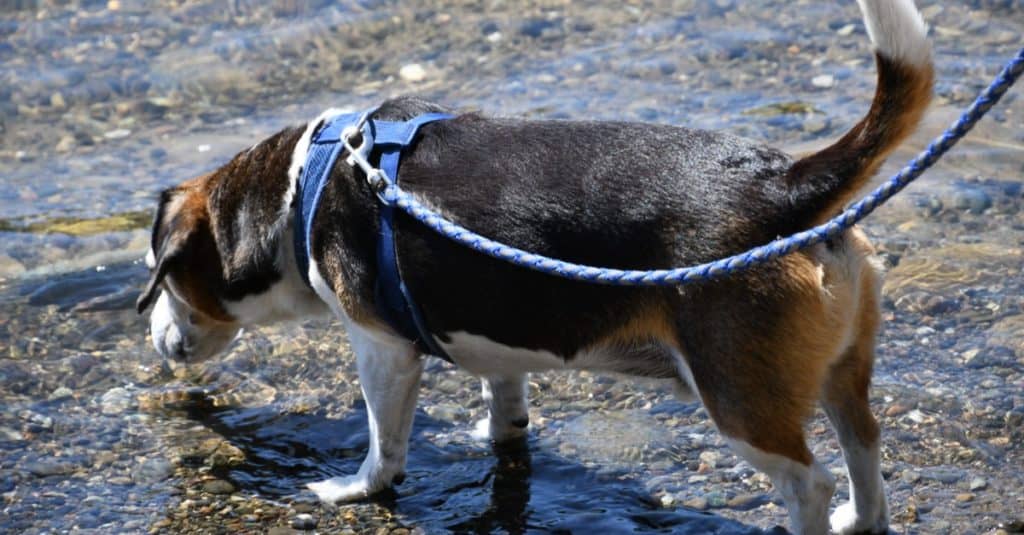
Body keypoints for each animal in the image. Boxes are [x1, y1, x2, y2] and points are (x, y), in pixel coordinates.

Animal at [136, 2, 937, 528]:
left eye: (164, 275)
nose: (156, 340)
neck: (307, 181)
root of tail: (783, 184)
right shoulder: (498, 340)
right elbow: (506, 402)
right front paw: (494, 435)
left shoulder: (381, 348)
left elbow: (384, 442)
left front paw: (358, 487)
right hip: (841, 372)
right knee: (864, 447)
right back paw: (860, 516)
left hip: (738, 398)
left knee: (808, 481)